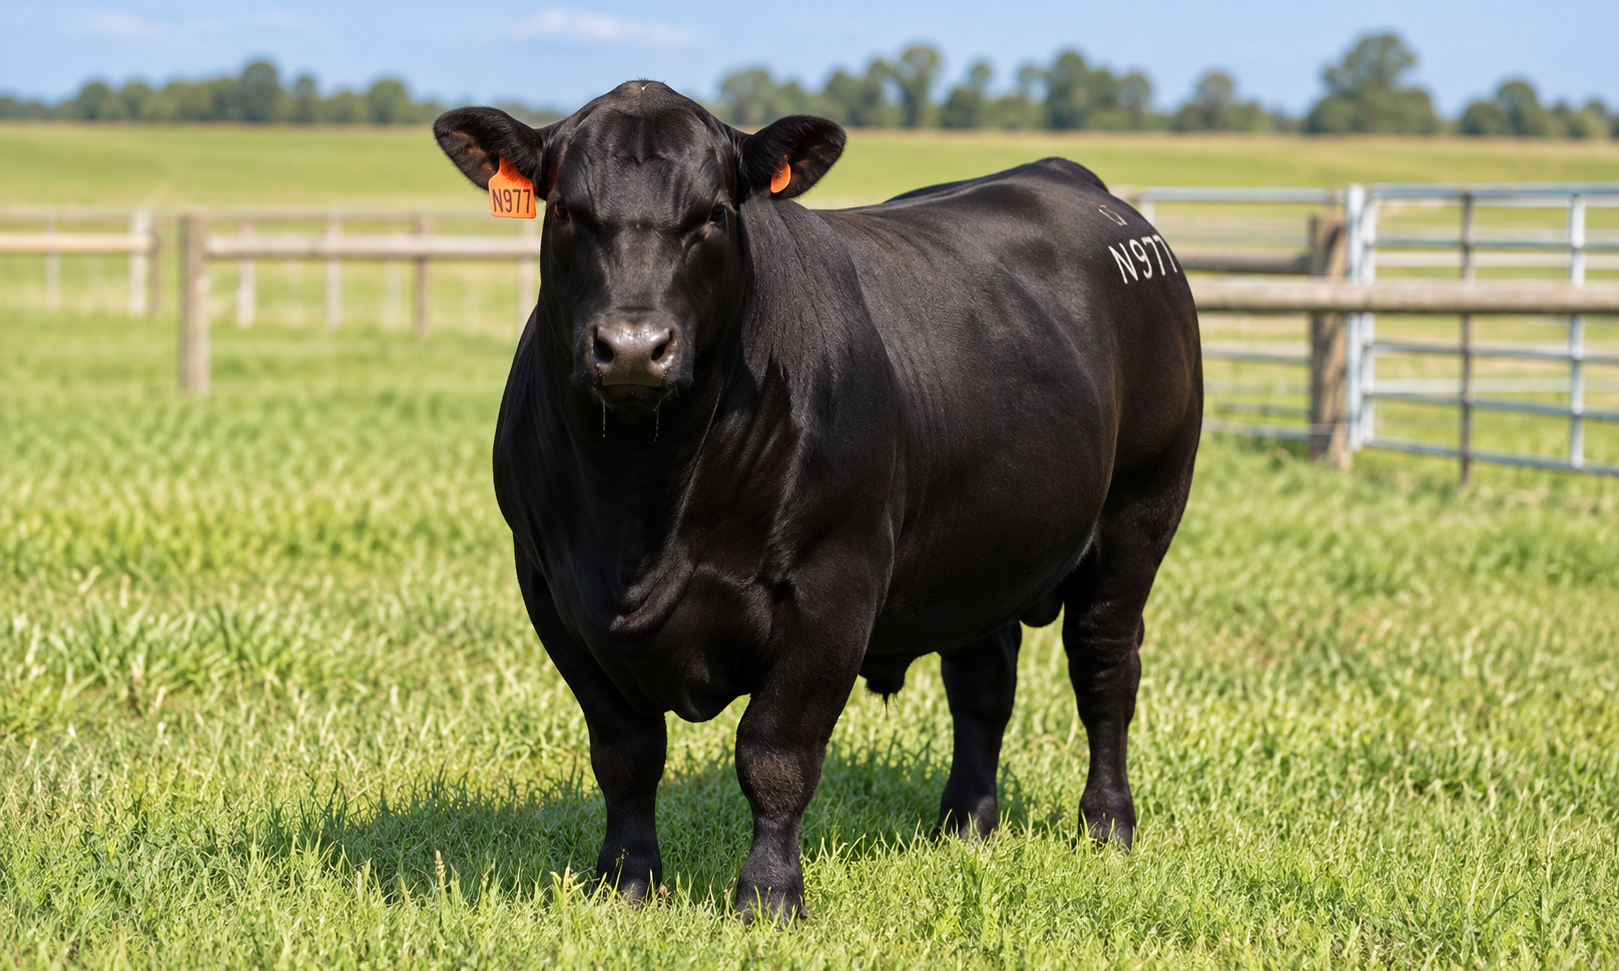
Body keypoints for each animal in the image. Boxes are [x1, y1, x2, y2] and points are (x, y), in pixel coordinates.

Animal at [433, 80, 1201, 924]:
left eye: (713, 213)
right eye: (567, 210)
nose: (634, 347)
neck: (641, 505)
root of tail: (1071, 182)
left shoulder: (832, 587)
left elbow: (774, 753)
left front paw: (768, 895)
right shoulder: (554, 592)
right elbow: (625, 753)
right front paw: (626, 882)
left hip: (1139, 513)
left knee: (1104, 668)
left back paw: (1107, 823)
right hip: (979, 548)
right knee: (982, 684)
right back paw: (964, 822)